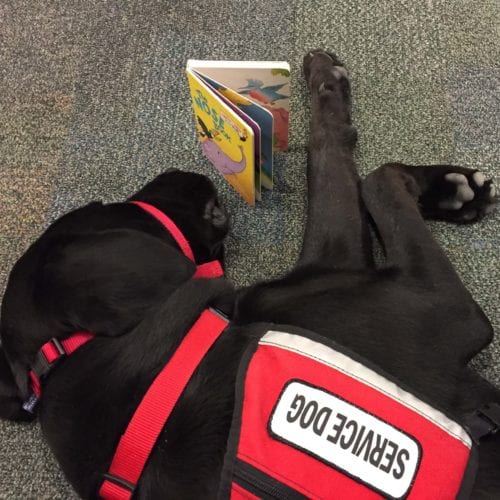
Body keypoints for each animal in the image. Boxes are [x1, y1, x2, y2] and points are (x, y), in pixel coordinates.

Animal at [0, 49, 498, 496]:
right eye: (106, 208)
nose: (180, 171)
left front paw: (455, 189)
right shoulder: (434, 305)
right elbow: (366, 172)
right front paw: (327, 81)